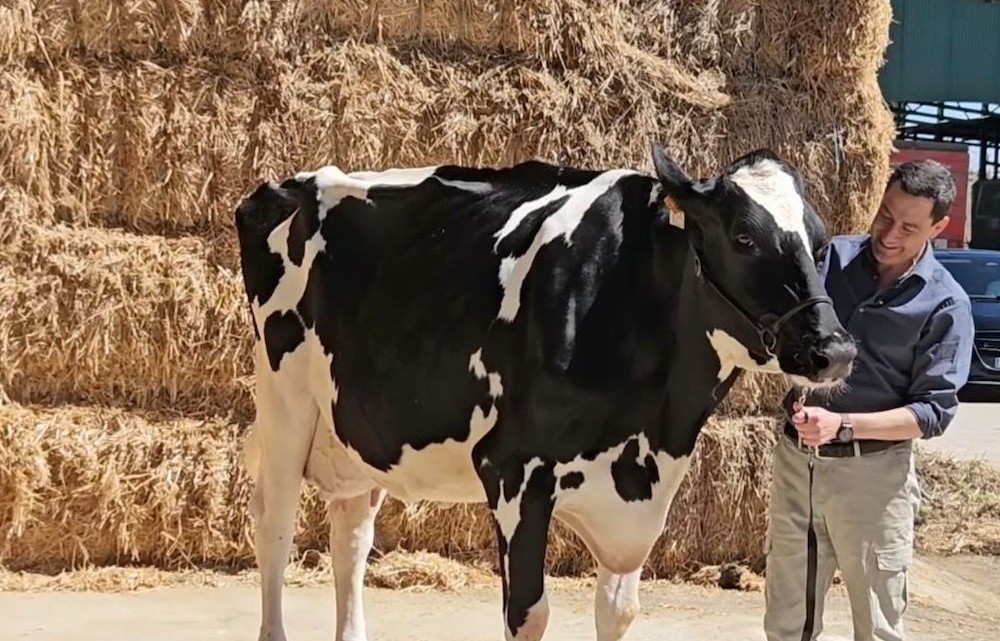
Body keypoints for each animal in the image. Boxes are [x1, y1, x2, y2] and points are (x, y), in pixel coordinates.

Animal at [233, 143, 856, 641]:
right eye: (743, 237)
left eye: (821, 241)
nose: (835, 350)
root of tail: (290, 182)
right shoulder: (513, 469)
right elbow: (527, 614)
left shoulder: (636, 497)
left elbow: (618, 613)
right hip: (286, 404)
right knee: (275, 529)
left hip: (355, 432)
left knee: (351, 539)